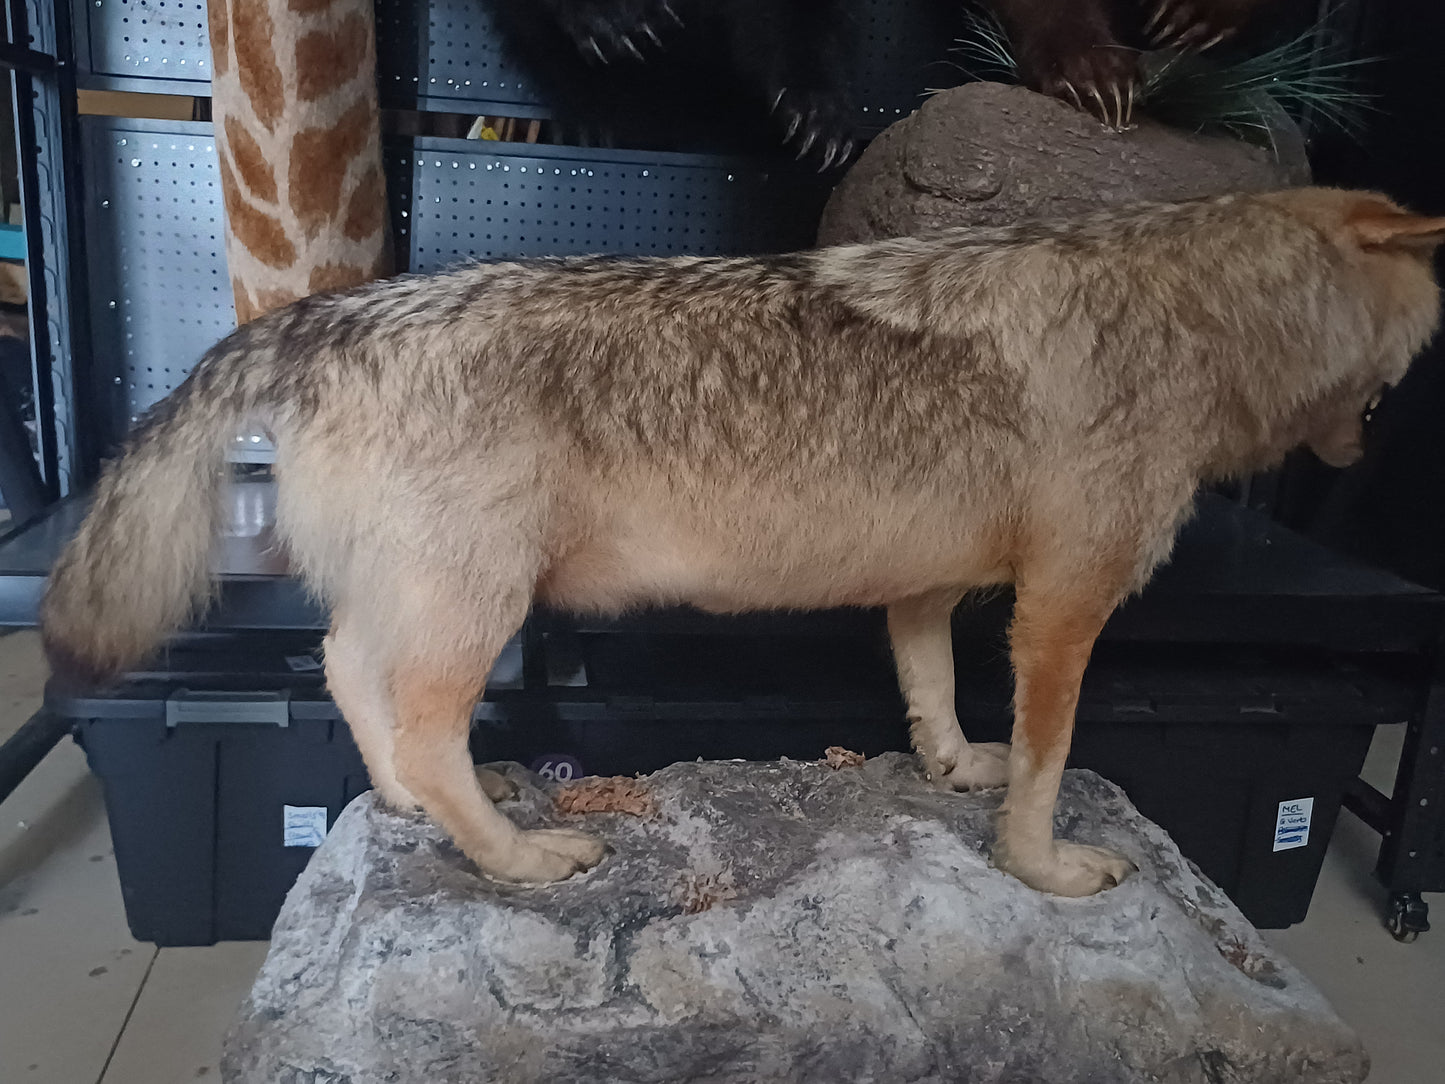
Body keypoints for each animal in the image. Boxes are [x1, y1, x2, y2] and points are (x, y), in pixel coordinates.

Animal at [41, 188, 1443, 897]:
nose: (1373, 454)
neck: (1193, 319)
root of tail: (327, 314)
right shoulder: (1062, 606)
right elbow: (1051, 761)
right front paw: (1041, 863)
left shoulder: (925, 589)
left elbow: (933, 695)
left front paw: (952, 771)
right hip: (477, 609)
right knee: (428, 729)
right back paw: (515, 855)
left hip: (416, 604)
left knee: (342, 668)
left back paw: (393, 803)